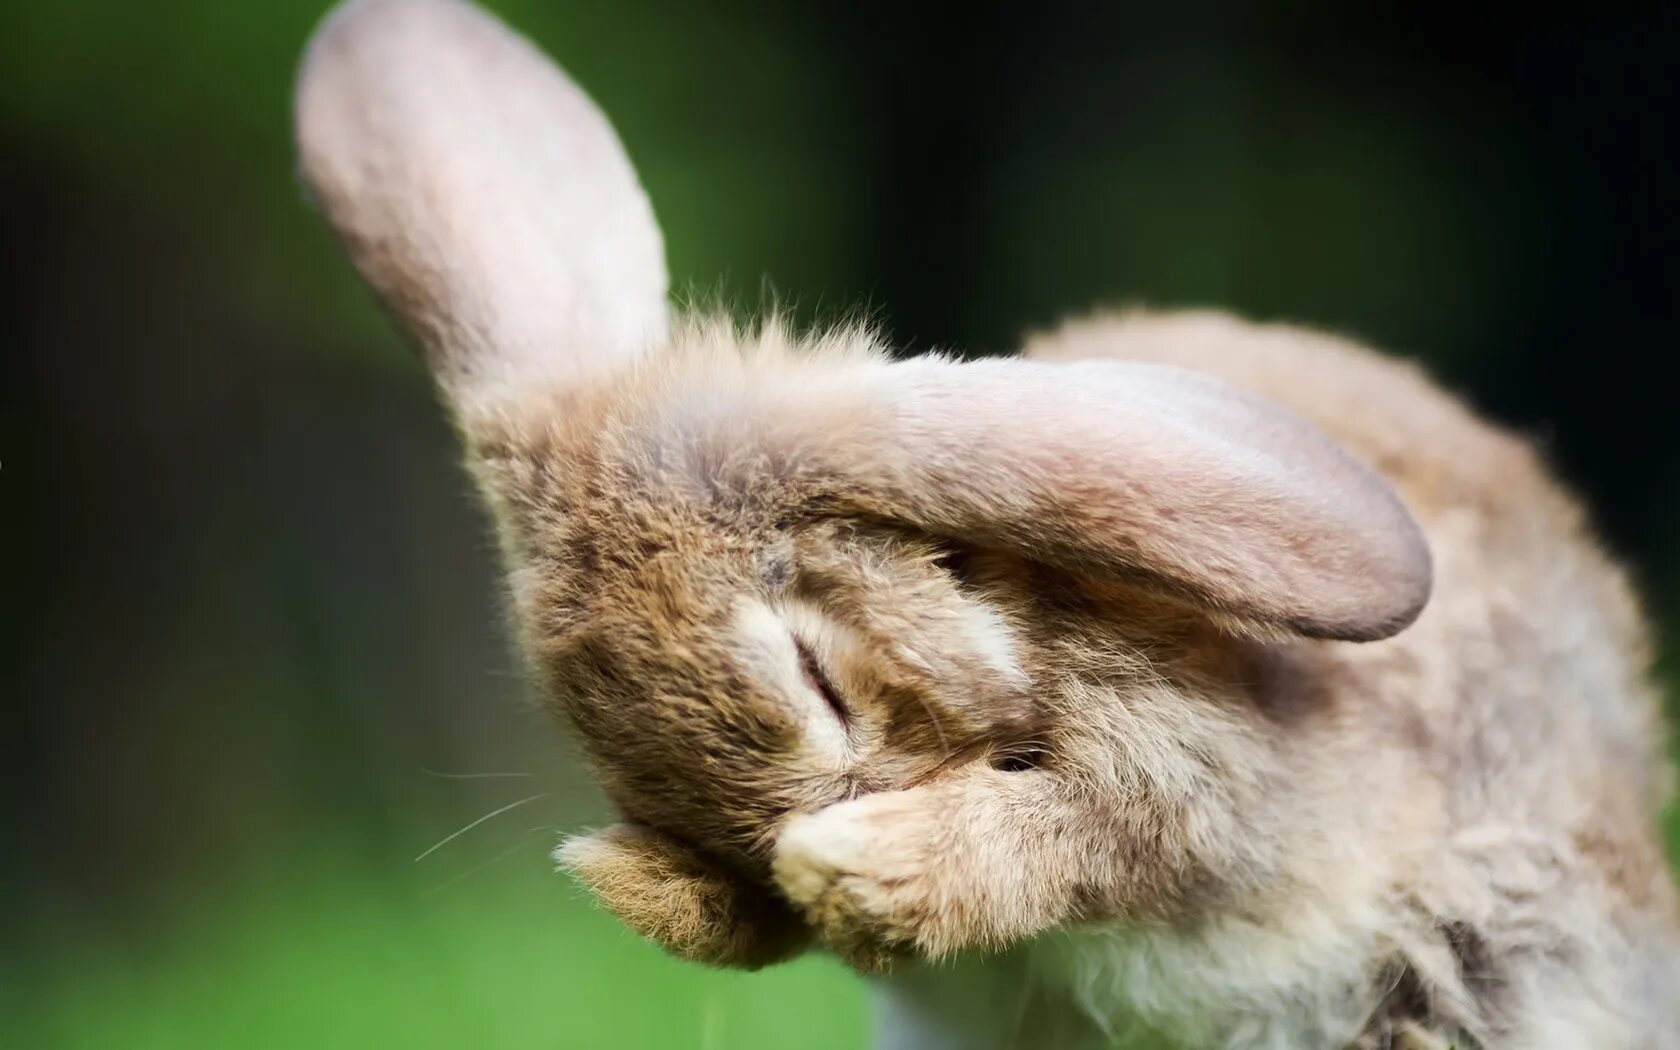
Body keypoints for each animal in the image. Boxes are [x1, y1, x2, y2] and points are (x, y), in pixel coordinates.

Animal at [295, 2, 1673, 1048]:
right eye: (606, 753)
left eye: (816, 677)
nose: (774, 851)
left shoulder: (1209, 783)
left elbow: (1095, 836)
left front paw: (844, 868)